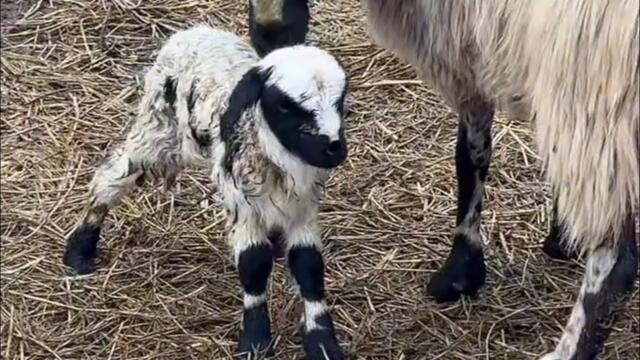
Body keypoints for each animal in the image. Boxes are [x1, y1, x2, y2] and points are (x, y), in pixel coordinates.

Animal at [62, 23, 348, 358]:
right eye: (285, 106)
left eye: (340, 102)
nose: (333, 149)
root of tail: (194, 31)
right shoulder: (241, 202)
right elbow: (253, 262)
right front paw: (254, 339)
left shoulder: (303, 207)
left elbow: (309, 266)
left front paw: (322, 341)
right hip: (157, 131)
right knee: (110, 178)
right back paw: (79, 251)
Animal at [248, 0, 636, 360]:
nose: (269, 33)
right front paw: (561, 236)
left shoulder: (478, 49)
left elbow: (469, 156)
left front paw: (462, 269)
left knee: (616, 263)